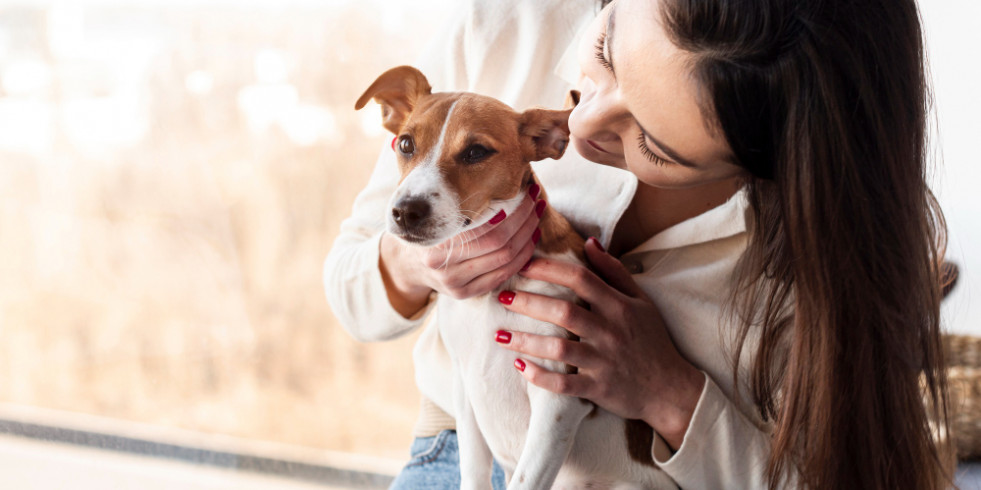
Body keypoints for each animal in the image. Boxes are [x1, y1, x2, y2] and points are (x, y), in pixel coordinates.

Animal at [354, 66, 672, 490]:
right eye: (405, 143)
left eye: (475, 152)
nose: (406, 211)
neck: (495, 295)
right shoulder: (466, 392)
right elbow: (473, 473)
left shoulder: (557, 400)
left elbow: (524, 479)